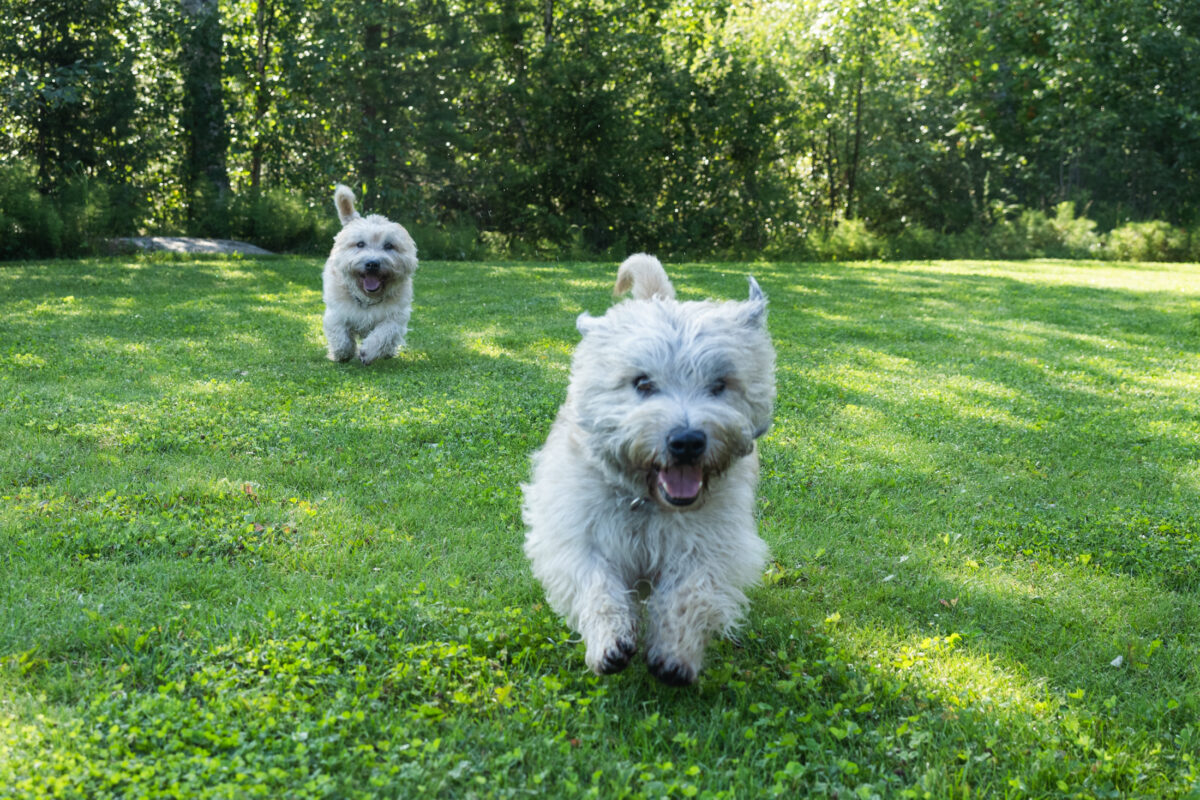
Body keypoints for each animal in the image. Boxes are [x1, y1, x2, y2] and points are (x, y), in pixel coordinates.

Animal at [321, 184, 420, 362]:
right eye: (360, 244)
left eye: (389, 245)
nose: (372, 263)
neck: (367, 299)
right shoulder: (337, 313)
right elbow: (340, 335)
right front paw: (342, 353)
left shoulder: (396, 317)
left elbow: (385, 334)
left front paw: (368, 351)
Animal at [520, 256, 772, 690]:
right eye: (642, 382)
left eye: (719, 384)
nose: (687, 441)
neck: (647, 501)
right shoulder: (577, 533)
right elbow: (596, 583)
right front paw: (609, 641)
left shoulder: (712, 543)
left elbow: (692, 591)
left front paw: (675, 654)